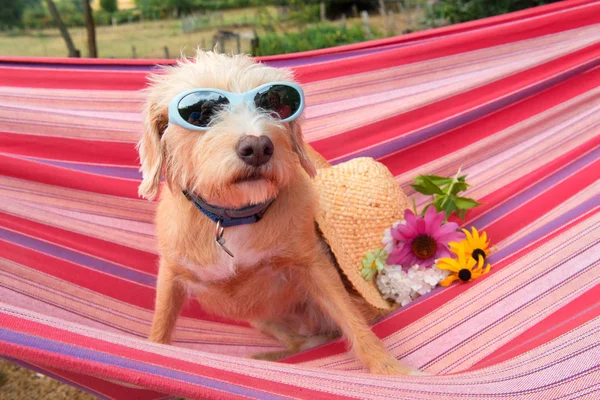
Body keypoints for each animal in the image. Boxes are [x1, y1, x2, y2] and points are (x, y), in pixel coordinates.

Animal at [136, 50, 418, 376]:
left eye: (273, 103)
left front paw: (389, 368)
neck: (232, 218)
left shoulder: (314, 265)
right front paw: (154, 353)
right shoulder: (171, 272)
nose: (258, 146)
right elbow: (161, 325)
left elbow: (354, 323)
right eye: (200, 113)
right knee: (299, 343)